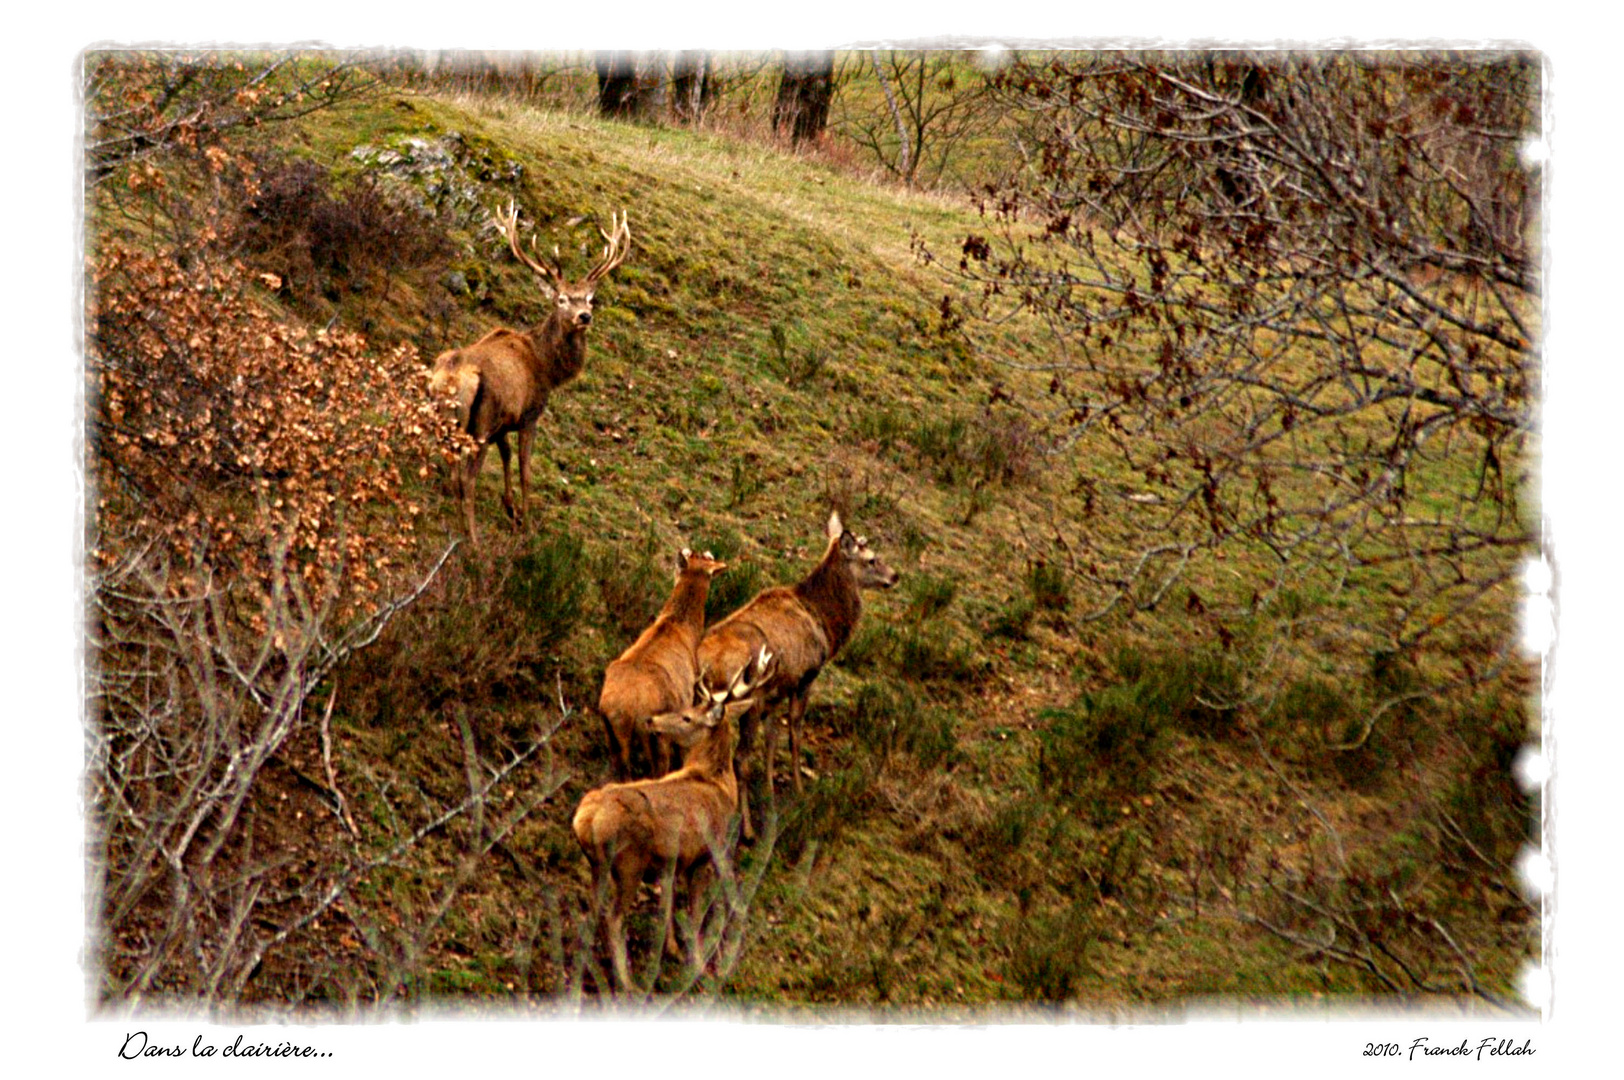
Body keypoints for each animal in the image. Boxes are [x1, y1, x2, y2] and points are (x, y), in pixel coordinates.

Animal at [428, 201, 630, 539]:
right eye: (561, 298)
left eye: (590, 299)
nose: (584, 316)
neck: (546, 367)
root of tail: (454, 375)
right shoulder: (528, 415)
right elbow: (525, 470)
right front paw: (526, 523)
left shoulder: (503, 424)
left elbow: (507, 457)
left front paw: (510, 509)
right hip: (480, 423)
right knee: (468, 479)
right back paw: (474, 540)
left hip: (447, 420)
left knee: (453, 473)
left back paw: (457, 527)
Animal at [571, 643, 773, 987]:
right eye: (687, 706)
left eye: (687, 716)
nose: (651, 719)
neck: (716, 784)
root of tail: (585, 820)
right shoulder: (706, 852)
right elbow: (693, 911)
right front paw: (698, 961)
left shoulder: (671, 862)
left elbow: (666, 906)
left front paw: (672, 949)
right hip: (628, 862)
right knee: (614, 917)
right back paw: (626, 982)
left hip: (598, 865)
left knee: (591, 913)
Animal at [695, 509, 902, 838]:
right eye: (871, 559)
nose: (895, 576)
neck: (827, 627)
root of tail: (708, 666)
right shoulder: (807, 676)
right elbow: (794, 733)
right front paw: (800, 790)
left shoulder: (778, 688)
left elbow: (772, 739)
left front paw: (769, 791)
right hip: (747, 698)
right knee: (740, 759)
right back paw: (747, 829)